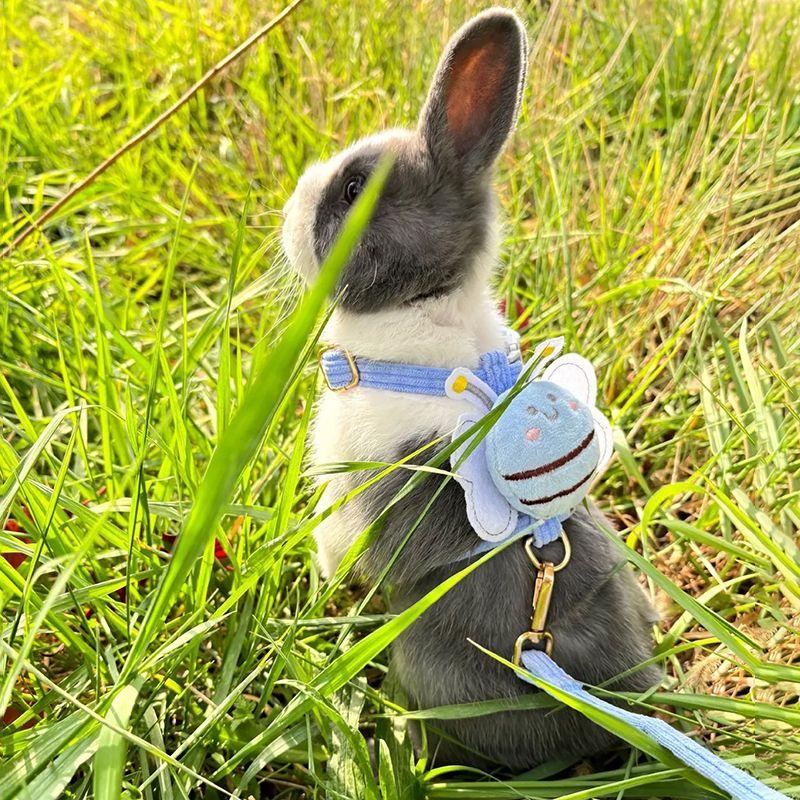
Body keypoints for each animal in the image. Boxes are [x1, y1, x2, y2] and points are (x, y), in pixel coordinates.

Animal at [282, 7, 660, 771]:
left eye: (352, 189)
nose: (286, 209)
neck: (422, 312)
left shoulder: (346, 499)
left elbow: (336, 554)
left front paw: (316, 594)